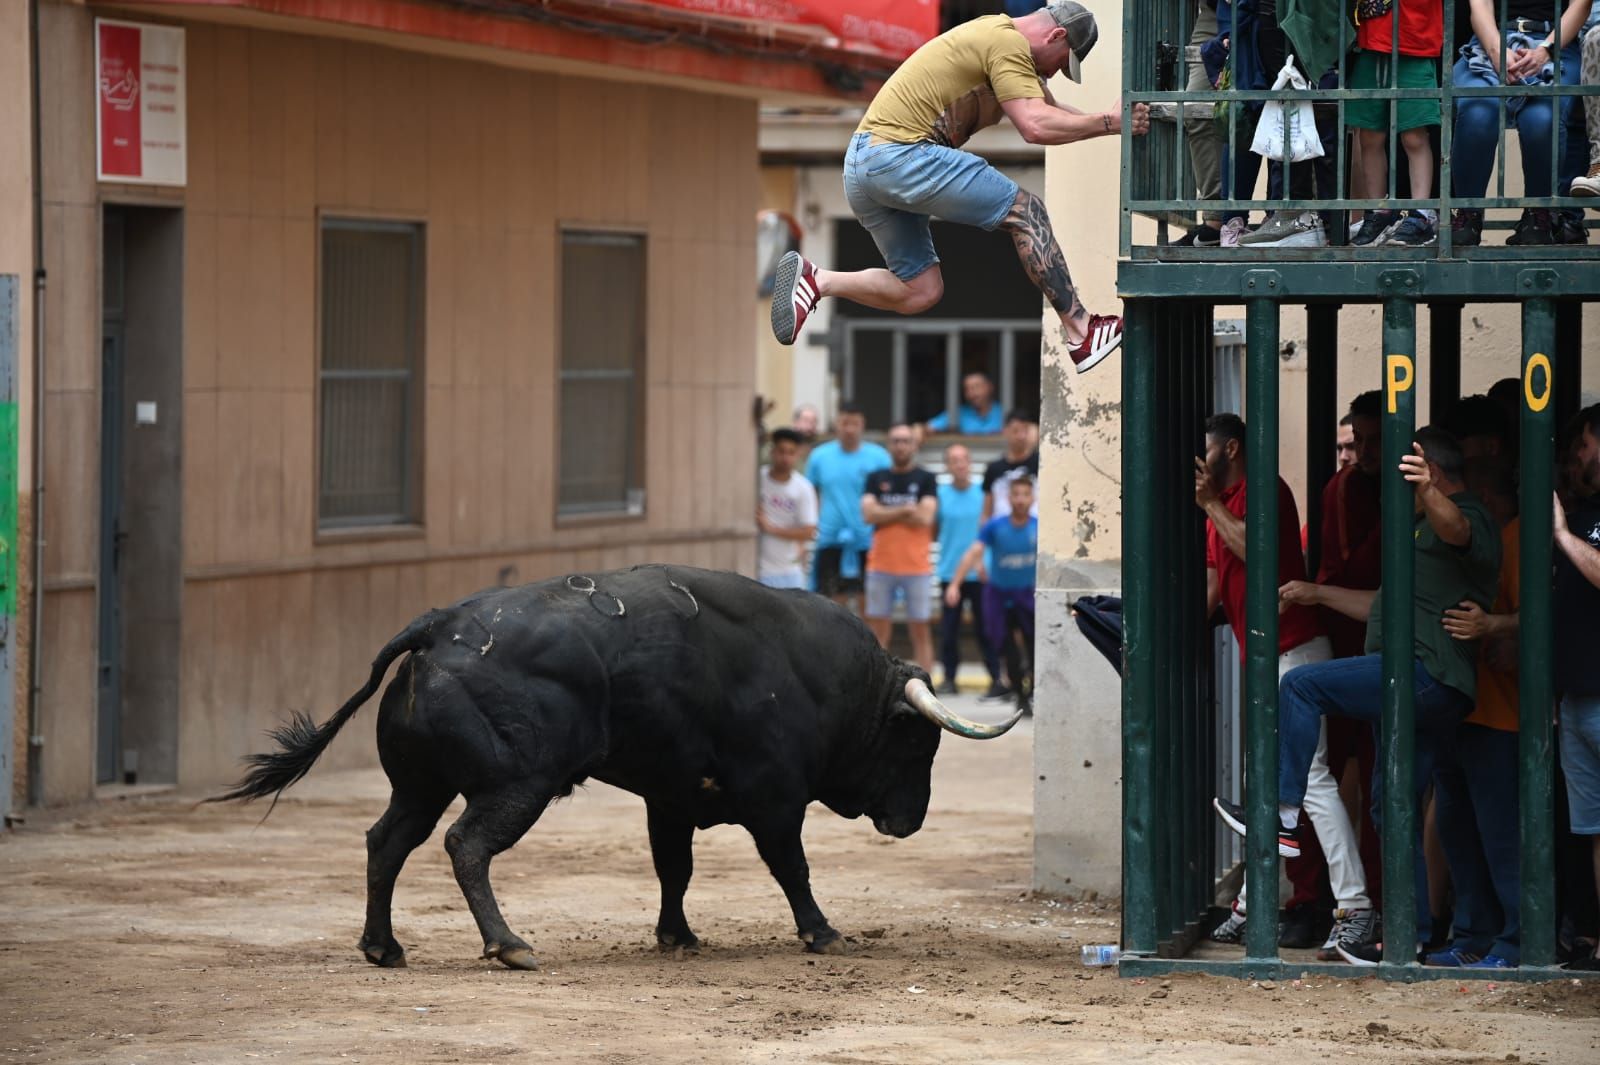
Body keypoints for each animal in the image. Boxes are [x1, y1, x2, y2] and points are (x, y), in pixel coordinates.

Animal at [216, 569, 1024, 965]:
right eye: (919, 744)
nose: (910, 821)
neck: (825, 676)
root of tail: (436, 627)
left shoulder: (669, 797)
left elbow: (675, 868)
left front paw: (677, 936)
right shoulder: (774, 798)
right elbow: (791, 868)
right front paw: (821, 932)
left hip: (421, 784)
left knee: (387, 842)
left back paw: (383, 947)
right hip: (517, 785)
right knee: (466, 845)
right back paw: (508, 945)